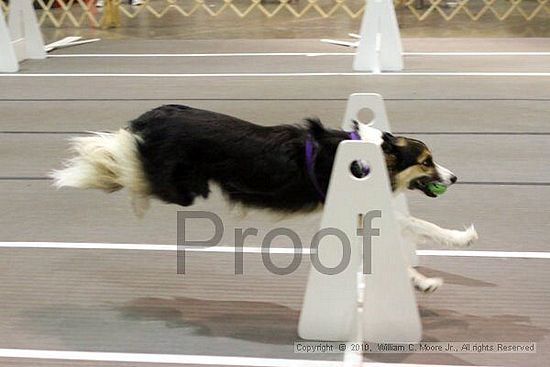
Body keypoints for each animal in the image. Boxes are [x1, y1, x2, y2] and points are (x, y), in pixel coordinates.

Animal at [51, 104, 478, 294]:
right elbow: (414, 231)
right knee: (128, 168)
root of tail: (156, 116)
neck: (371, 155)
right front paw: (437, 265)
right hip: (182, 189)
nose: (454, 177)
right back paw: (104, 171)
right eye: (426, 162)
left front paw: (433, 266)